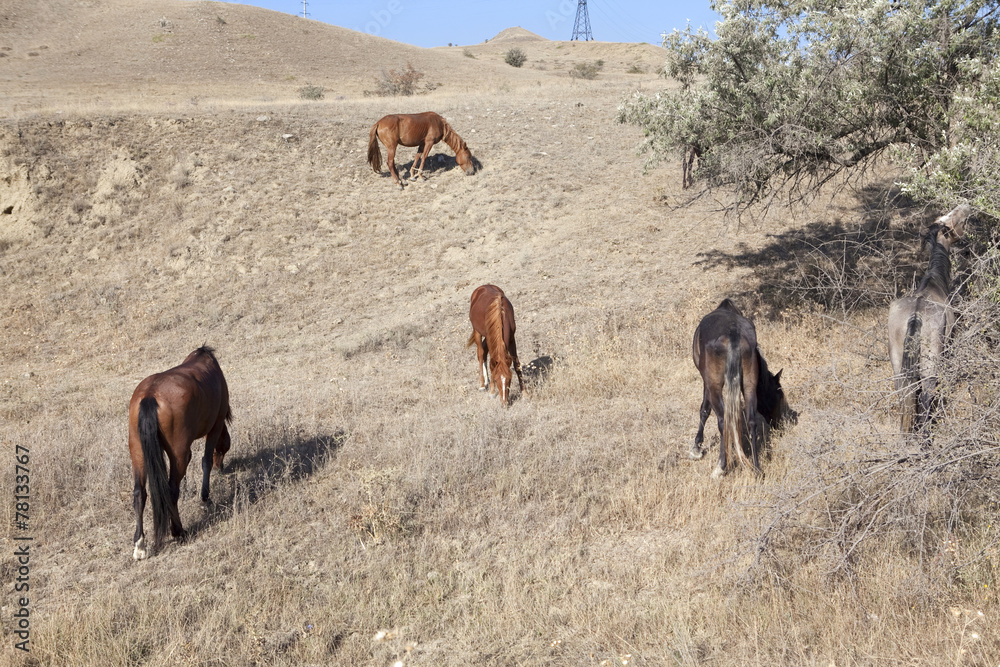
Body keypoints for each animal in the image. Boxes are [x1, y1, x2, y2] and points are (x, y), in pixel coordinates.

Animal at [128, 346, 232, 560]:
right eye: (225, 446)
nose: (221, 467)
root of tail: (150, 396)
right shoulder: (215, 426)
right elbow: (205, 461)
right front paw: (205, 497)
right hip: (178, 454)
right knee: (170, 489)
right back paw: (178, 531)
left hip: (138, 452)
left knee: (139, 493)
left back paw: (140, 544)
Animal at [690, 299, 794, 478]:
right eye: (779, 396)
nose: (779, 424)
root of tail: (733, 333)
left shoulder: (706, 382)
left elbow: (704, 410)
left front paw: (696, 447)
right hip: (748, 385)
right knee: (751, 421)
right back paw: (757, 468)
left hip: (714, 386)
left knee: (723, 420)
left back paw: (721, 466)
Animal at [887, 204, 971, 433]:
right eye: (954, 221)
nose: (965, 207)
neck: (934, 280)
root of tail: (915, 316)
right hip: (929, 367)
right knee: (925, 401)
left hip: (898, 367)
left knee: (905, 400)